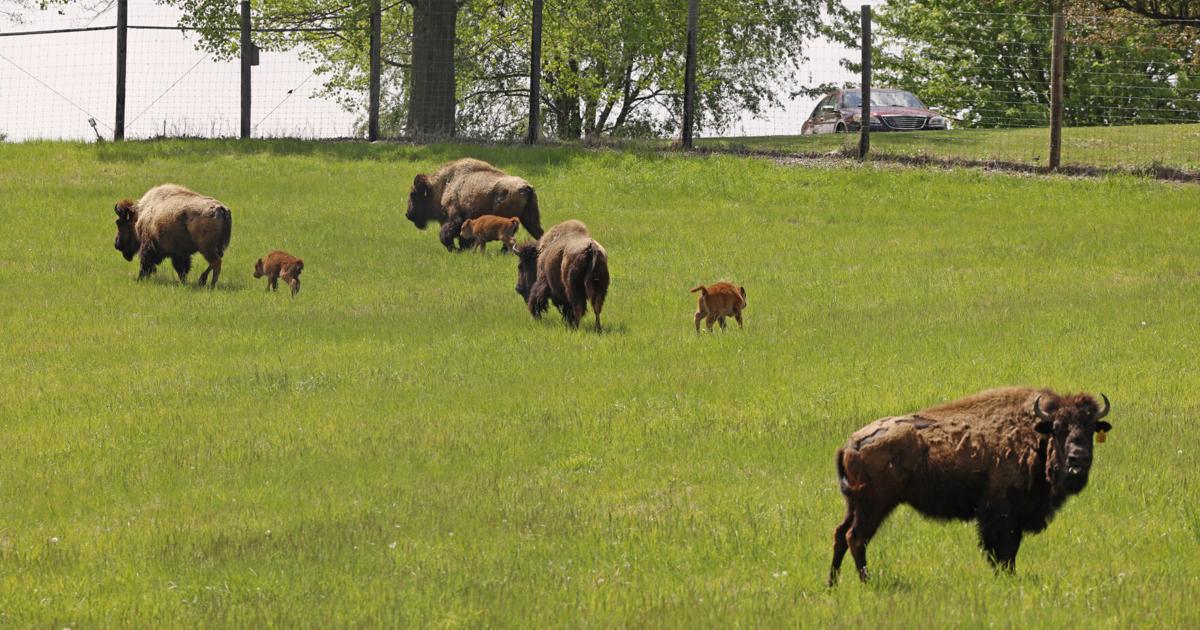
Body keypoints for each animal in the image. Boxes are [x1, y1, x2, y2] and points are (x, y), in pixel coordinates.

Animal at [405, 158, 543, 251]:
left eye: (413, 194)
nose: (408, 214)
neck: (444, 185)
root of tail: (526, 187)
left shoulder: (454, 217)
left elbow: (446, 235)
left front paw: (456, 250)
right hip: (530, 219)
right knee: (538, 232)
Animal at [828, 387, 1113, 585]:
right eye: (1057, 427)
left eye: (1090, 428)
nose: (1078, 458)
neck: (1035, 436)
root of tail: (851, 443)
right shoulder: (1000, 514)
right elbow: (1002, 549)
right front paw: (1006, 578)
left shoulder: (1016, 516)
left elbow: (1011, 550)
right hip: (874, 506)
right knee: (856, 538)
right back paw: (867, 583)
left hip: (854, 505)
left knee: (840, 534)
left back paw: (832, 585)